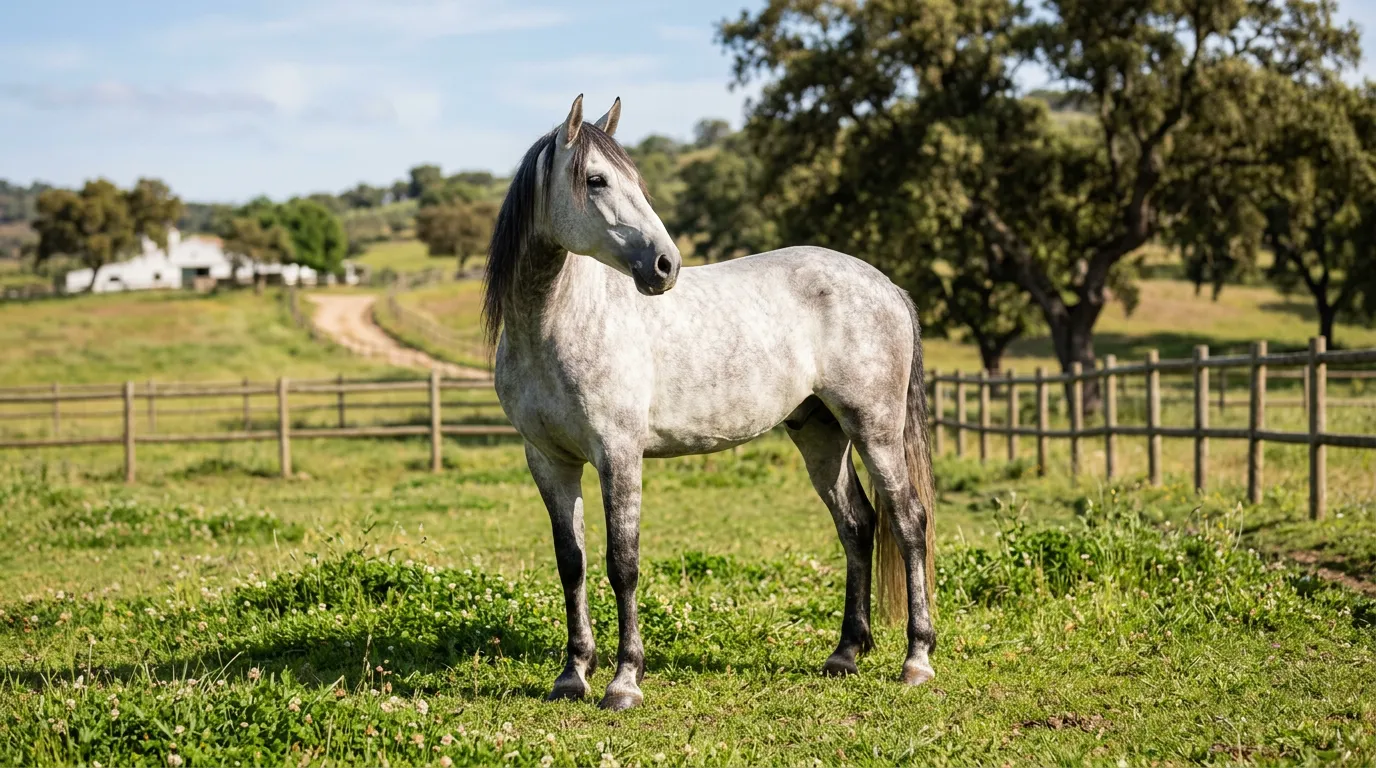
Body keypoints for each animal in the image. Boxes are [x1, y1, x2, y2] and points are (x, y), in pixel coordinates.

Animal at [485, 94, 937, 711]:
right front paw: (572, 674)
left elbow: (622, 563)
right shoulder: (549, 462)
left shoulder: (618, 455)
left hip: (876, 429)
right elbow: (571, 564)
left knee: (908, 521)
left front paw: (624, 681)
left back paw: (917, 659)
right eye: (596, 180)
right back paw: (845, 653)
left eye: (634, 179)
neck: (557, 326)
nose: (665, 266)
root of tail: (886, 286)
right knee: (858, 524)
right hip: (821, 433)